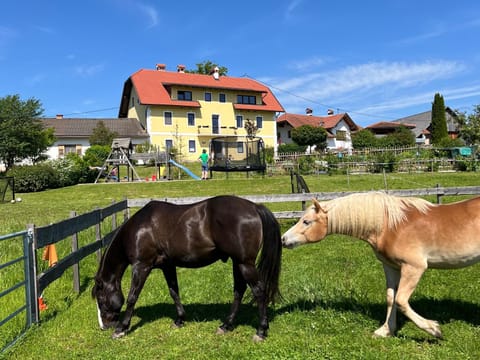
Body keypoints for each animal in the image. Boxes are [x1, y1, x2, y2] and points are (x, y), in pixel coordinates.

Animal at [91, 195, 282, 342]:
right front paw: (180, 320)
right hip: (238, 263)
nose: (104, 326)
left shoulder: (141, 266)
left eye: (101, 298)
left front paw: (121, 329)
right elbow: (174, 291)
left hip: (245, 264)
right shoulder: (167, 265)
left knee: (259, 291)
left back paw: (260, 331)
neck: (141, 228)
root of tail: (255, 207)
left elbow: (132, 297)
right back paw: (226, 325)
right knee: (239, 291)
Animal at [282, 193, 480, 338]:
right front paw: (386, 330)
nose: (284, 239)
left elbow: (401, 301)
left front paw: (433, 329)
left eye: (306, 221)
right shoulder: (391, 267)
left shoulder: (413, 268)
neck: (390, 226)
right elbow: (391, 298)